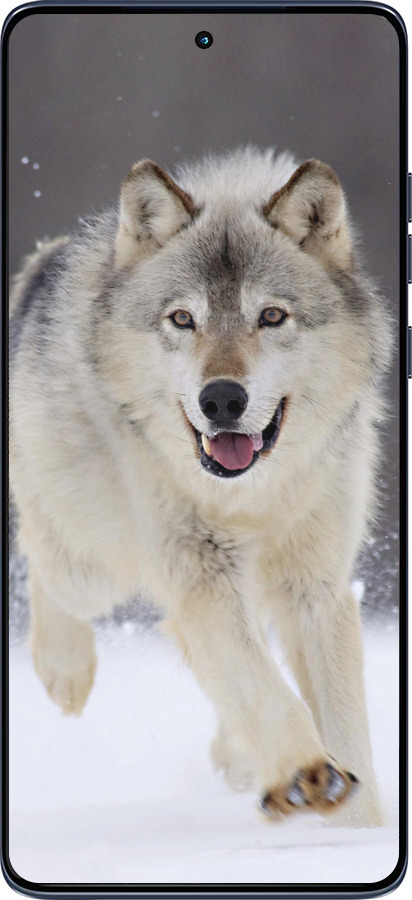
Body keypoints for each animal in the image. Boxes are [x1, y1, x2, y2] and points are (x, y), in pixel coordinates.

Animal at [10, 147, 390, 826]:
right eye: (183, 319)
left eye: (271, 316)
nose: (222, 400)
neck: (252, 497)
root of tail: (45, 260)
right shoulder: (200, 574)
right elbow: (262, 686)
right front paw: (305, 773)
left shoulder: (315, 586)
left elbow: (343, 722)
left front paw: (358, 827)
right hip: (93, 565)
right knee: (42, 555)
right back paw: (65, 671)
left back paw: (236, 756)